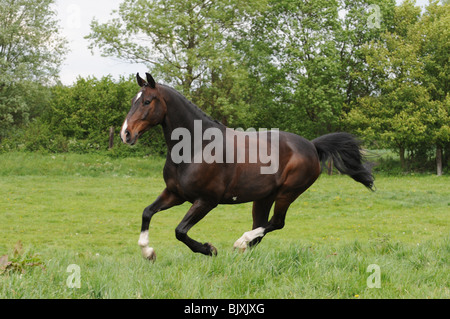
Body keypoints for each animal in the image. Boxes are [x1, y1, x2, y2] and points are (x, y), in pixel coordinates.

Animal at [118, 72, 372, 260]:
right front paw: (148, 252)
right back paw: (243, 251)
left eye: (147, 101)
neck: (196, 146)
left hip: (288, 193)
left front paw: (209, 249)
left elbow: (180, 231)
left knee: (275, 223)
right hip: (263, 197)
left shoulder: (206, 201)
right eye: (132, 101)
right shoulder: (175, 194)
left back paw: (240, 242)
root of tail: (311, 145)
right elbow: (147, 213)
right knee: (262, 226)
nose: (126, 134)